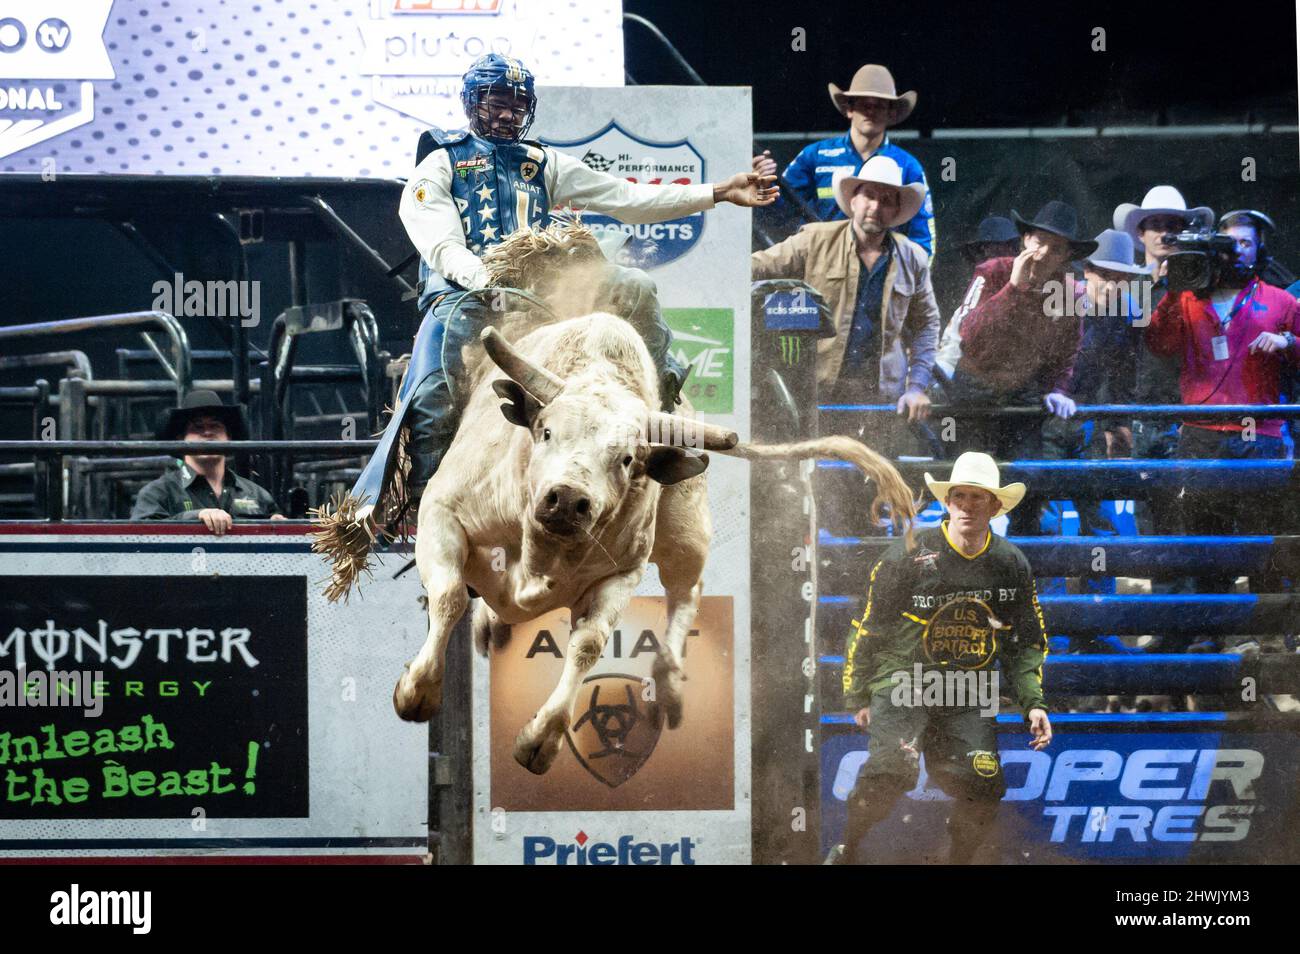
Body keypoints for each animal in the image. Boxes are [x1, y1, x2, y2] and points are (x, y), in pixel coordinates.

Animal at [395, 314, 915, 779]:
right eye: (546, 431)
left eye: (627, 458)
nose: (566, 500)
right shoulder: (442, 511)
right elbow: (450, 596)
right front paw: (417, 690)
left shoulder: (622, 573)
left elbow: (588, 645)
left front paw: (540, 740)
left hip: (687, 535)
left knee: (686, 593)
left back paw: (667, 683)